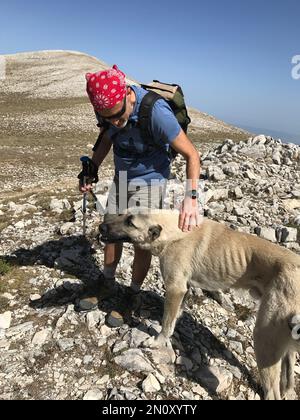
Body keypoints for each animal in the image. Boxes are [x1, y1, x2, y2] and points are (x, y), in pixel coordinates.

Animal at [100, 212, 300, 398]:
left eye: (130, 223)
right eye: (121, 214)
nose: (101, 227)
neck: (172, 231)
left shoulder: (175, 288)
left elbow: (167, 323)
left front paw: (157, 342)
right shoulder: (183, 288)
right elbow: (175, 315)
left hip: (264, 339)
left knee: (272, 391)